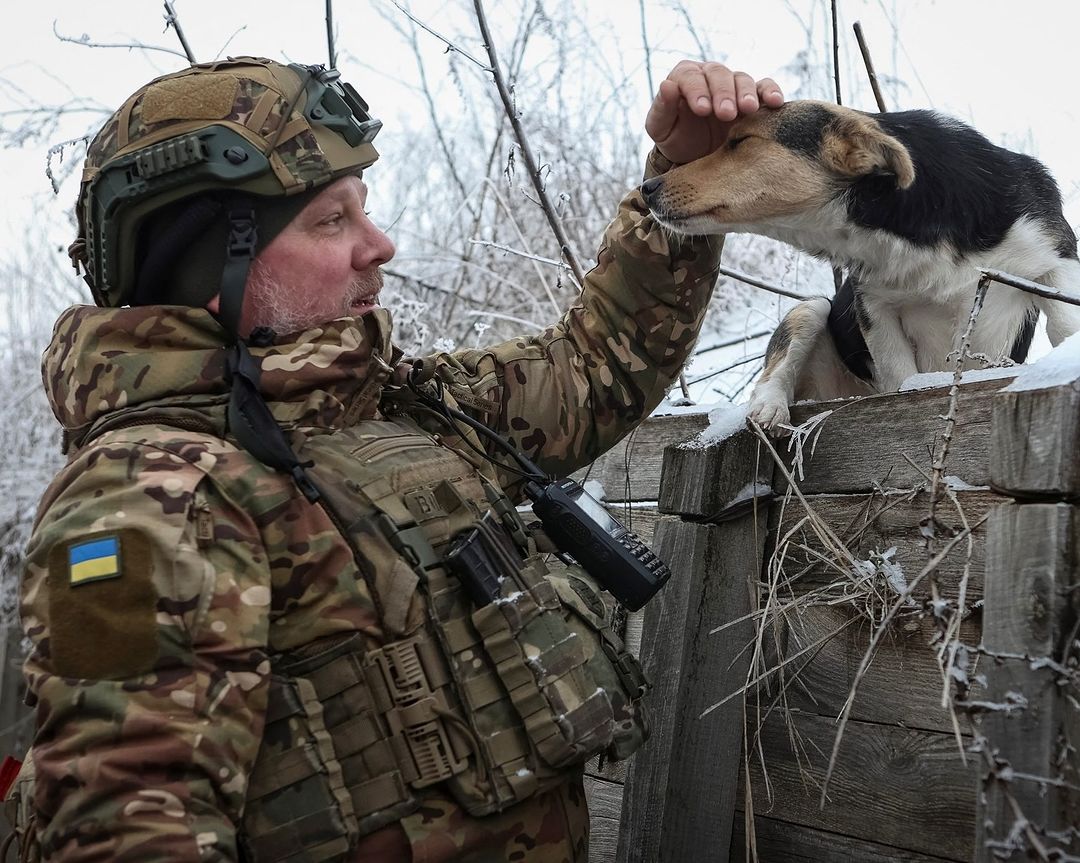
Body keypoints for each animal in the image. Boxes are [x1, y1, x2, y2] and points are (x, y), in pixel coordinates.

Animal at [639, 100, 1080, 432]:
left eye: (739, 141)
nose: (646, 188)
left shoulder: (1054, 258)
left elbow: (1064, 325)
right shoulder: (874, 306)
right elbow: (902, 375)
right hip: (812, 308)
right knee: (776, 368)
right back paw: (768, 407)